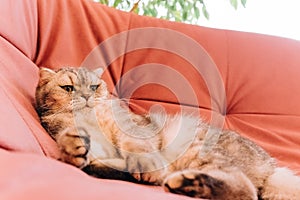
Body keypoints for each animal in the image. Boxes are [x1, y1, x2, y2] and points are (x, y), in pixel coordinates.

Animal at [35, 67, 300, 200]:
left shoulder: (133, 129)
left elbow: (138, 148)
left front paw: (144, 165)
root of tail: (271, 167)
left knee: (247, 191)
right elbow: (81, 145)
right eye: (68, 88)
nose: (87, 97)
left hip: (202, 151)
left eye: (94, 86)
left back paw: (186, 182)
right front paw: (73, 147)